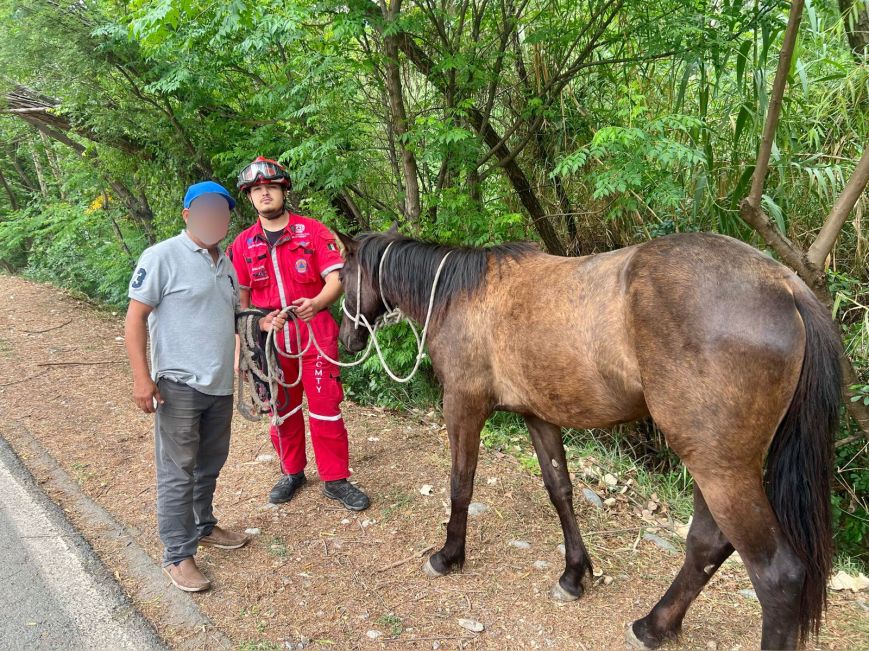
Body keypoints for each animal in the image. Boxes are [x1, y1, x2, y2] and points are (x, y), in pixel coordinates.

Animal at [333, 228, 841, 650]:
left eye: (345, 274)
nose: (346, 340)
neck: (461, 293)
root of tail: (785, 285)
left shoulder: (462, 404)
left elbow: (461, 484)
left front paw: (449, 556)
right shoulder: (538, 416)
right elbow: (560, 491)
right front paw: (574, 575)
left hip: (720, 467)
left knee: (776, 574)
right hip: (712, 462)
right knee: (706, 543)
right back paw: (654, 626)